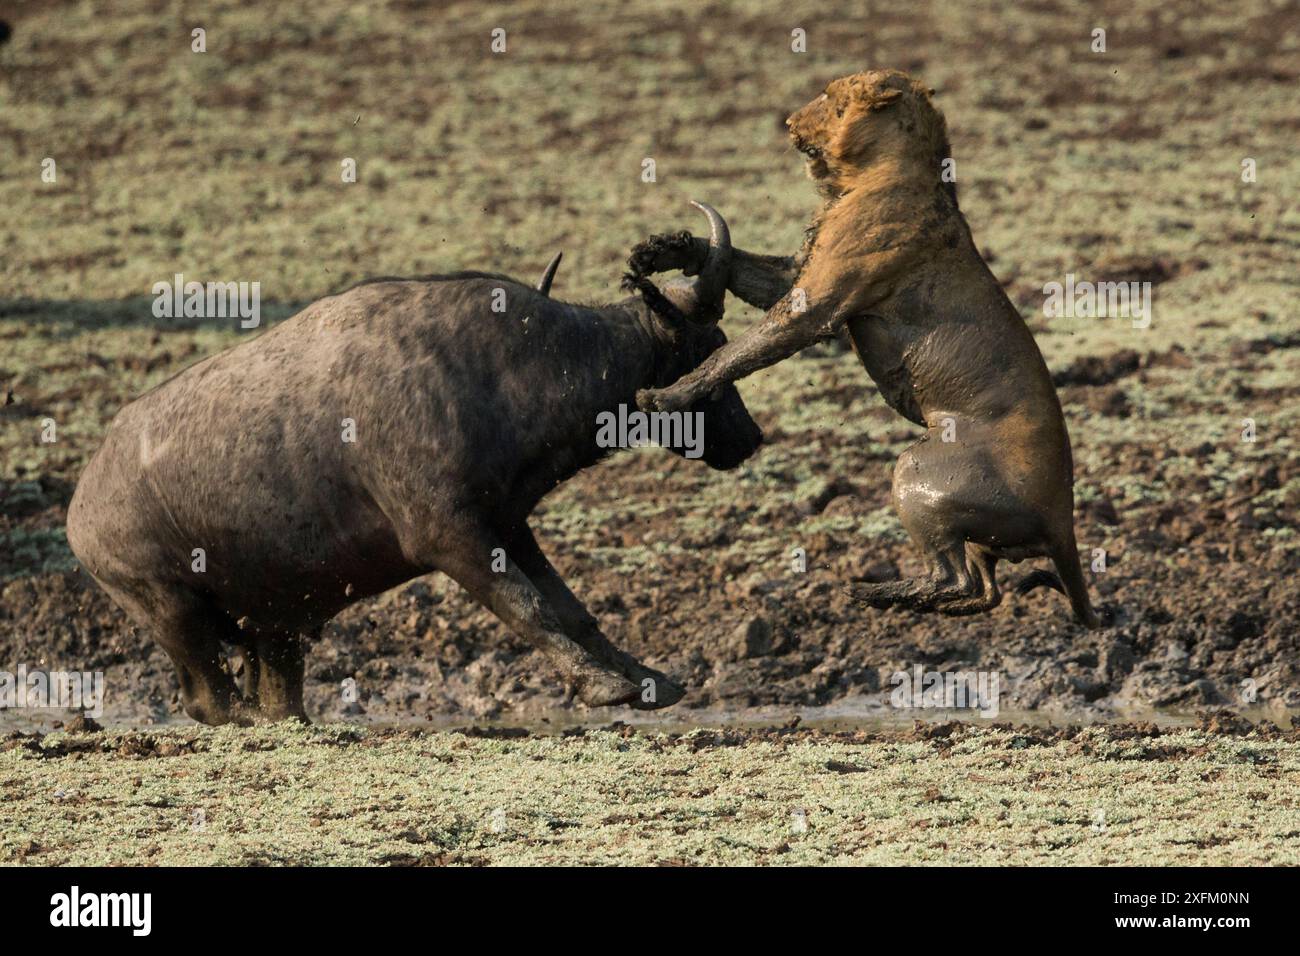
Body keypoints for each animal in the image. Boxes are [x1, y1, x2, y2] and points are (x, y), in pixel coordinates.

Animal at [626, 69, 1099, 627]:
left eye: (831, 97)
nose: (788, 121)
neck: (872, 175)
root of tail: (1064, 519)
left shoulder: (816, 304)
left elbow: (733, 354)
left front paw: (663, 397)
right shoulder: (799, 271)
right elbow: (738, 265)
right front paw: (660, 250)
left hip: (917, 472)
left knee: (956, 577)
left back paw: (872, 593)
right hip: (982, 534)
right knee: (985, 589)